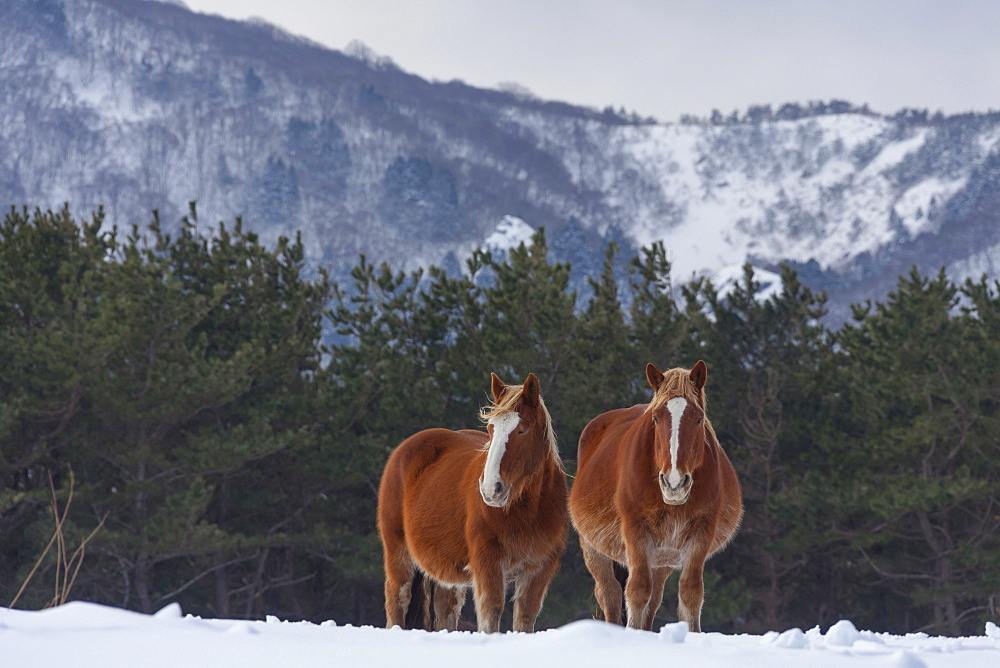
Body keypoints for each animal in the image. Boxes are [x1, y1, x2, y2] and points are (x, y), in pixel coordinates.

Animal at [376, 374, 568, 636]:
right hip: (399, 554)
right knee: (397, 600)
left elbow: (525, 617)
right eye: (490, 429)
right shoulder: (487, 562)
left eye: (522, 430)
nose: (490, 489)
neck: (528, 511)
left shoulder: (539, 569)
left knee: (445, 610)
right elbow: (491, 614)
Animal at [572, 362, 744, 628]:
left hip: (662, 558)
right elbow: (637, 592)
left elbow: (691, 594)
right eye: (655, 418)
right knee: (610, 594)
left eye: (699, 419)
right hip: (594, 548)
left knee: (653, 600)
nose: (675, 483)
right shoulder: (635, 532)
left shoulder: (701, 533)